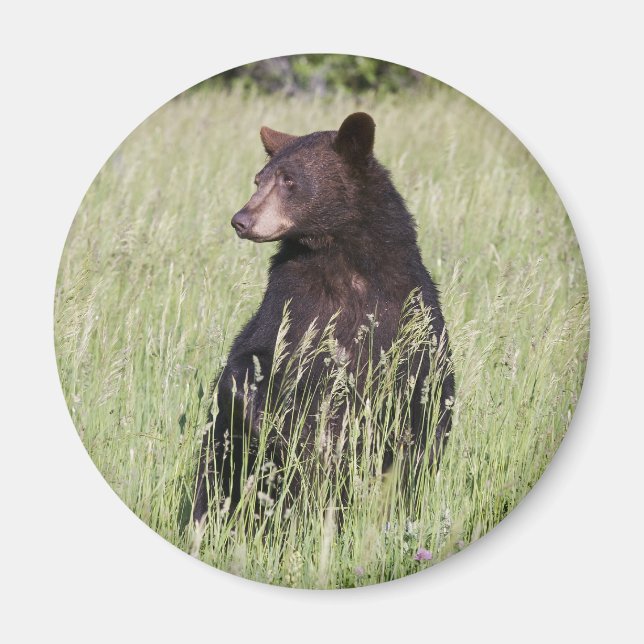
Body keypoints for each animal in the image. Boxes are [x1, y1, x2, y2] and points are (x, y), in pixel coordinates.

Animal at [193, 112, 454, 526]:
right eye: (258, 179)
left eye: (289, 180)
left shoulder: (407, 310)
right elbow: (251, 360)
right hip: (223, 463)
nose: (241, 220)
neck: (342, 259)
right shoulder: (291, 302)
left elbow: (427, 391)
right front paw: (278, 427)